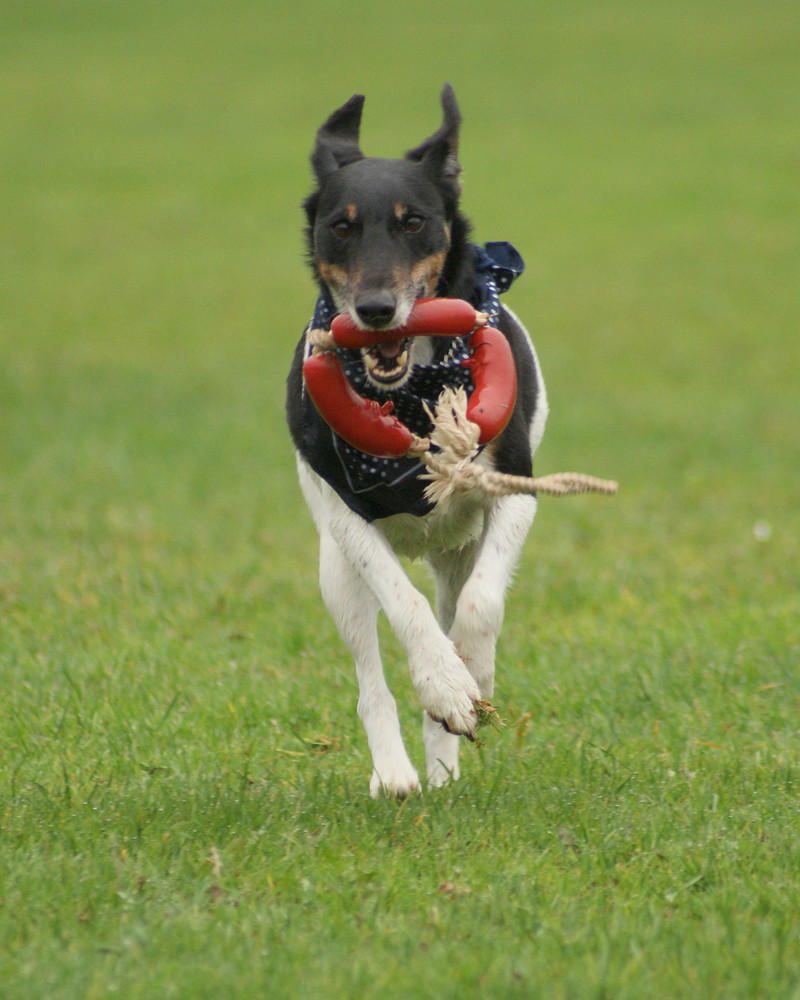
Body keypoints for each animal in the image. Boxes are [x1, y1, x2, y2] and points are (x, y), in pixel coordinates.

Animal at [288, 86, 552, 796]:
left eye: (413, 223)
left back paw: (442, 766)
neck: (413, 389)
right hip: (334, 573)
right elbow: (404, 608)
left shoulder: (515, 490)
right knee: (370, 674)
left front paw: (470, 679)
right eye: (342, 226)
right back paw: (398, 775)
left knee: (457, 600)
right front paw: (444, 684)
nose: (376, 310)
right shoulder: (346, 516)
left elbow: (482, 606)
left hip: (456, 553)